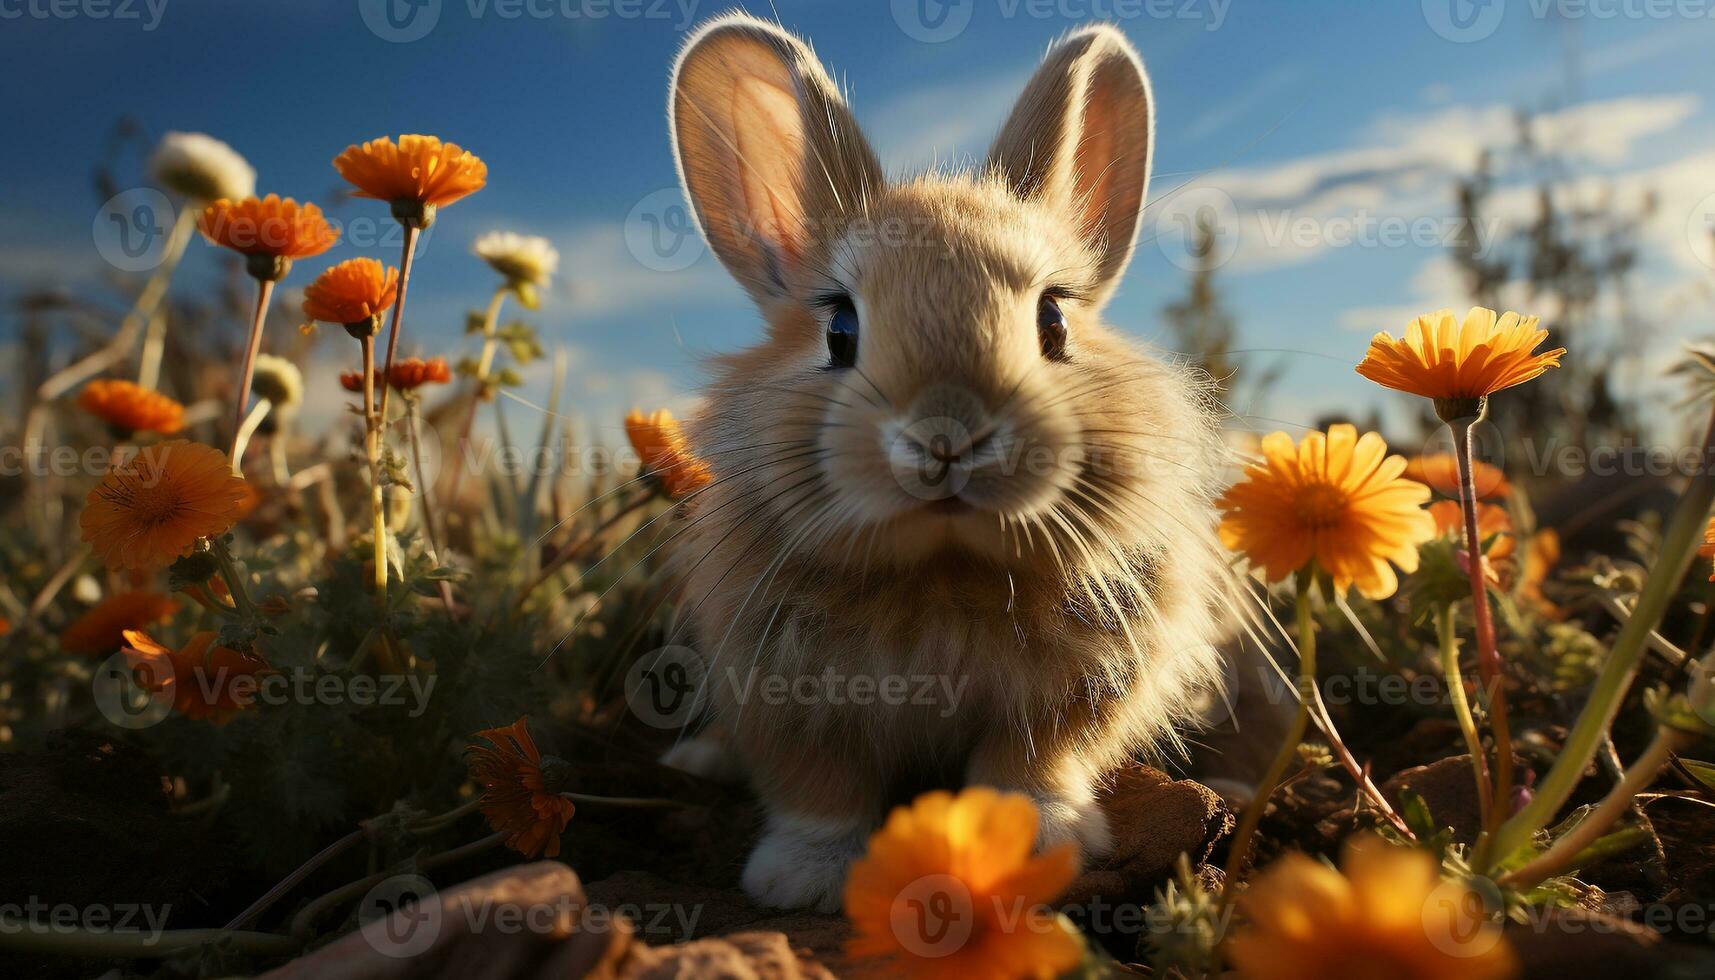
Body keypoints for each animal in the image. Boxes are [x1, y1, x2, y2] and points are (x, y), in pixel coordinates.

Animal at [655, 11, 1234, 913]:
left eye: (1052, 322)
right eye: (839, 330)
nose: (947, 437)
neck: (942, 571)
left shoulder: (1060, 708)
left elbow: (1027, 770)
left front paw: (1037, 838)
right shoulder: (790, 707)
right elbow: (820, 794)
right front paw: (803, 880)